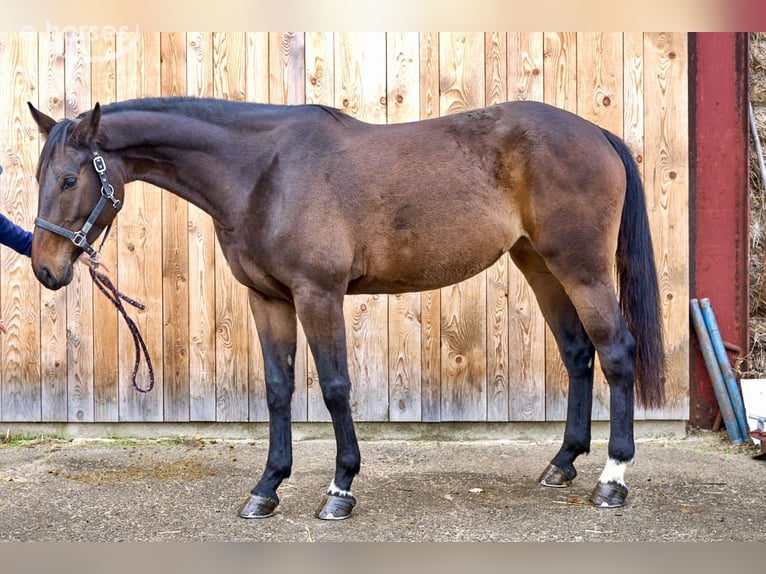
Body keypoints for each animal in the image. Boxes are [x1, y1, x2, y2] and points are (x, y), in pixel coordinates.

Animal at [27, 96, 665, 520]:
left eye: (68, 179)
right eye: (40, 177)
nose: (45, 270)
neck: (263, 172)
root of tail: (598, 133)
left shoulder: (318, 294)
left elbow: (335, 386)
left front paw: (340, 489)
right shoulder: (268, 299)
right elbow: (279, 389)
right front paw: (266, 489)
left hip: (580, 268)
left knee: (615, 353)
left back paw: (612, 480)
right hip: (538, 263)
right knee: (578, 353)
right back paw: (562, 464)